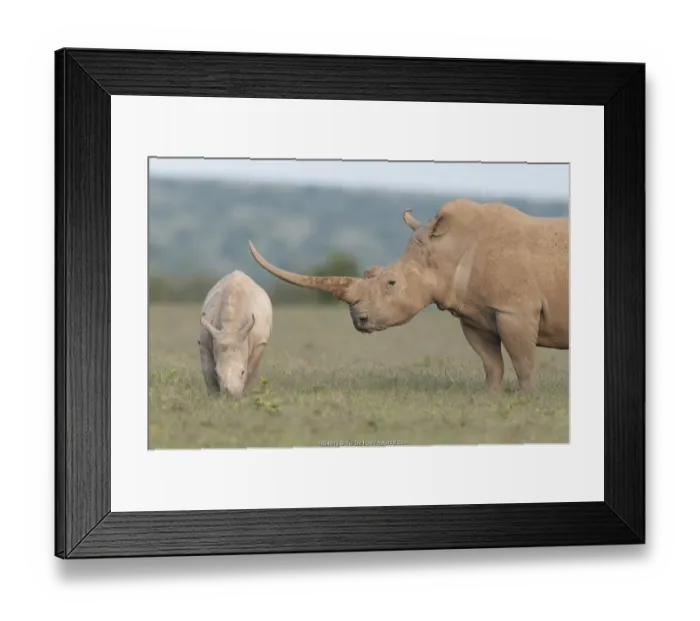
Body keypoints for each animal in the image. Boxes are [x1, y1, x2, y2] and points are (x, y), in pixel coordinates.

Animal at [198, 270, 273, 398]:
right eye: (217, 373)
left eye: (242, 372)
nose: (230, 395)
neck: (230, 329)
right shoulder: (204, 341)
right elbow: (208, 372)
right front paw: (213, 397)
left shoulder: (259, 342)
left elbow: (251, 371)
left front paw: (246, 395)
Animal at [249, 198, 568, 392]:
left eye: (391, 282)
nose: (358, 319)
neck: (449, 252)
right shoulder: (474, 313)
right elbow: (491, 363)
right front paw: (492, 397)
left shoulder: (514, 310)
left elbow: (523, 362)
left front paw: (526, 396)